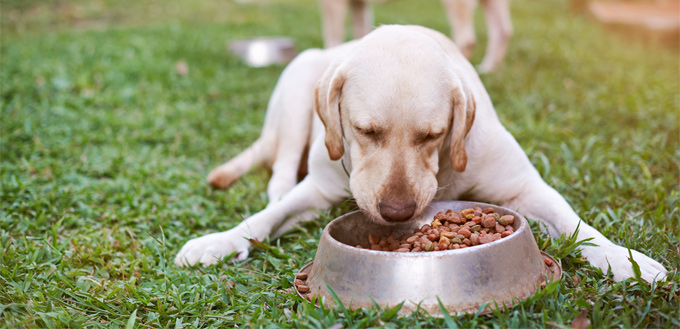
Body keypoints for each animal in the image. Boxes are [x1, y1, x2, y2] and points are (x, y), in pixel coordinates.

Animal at [320, 0, 510, 72]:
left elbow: (332, 38)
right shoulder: (359, 4)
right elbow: (361, 33)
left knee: (466, 39)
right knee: (503, 30)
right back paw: (488, 69)